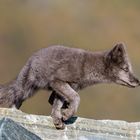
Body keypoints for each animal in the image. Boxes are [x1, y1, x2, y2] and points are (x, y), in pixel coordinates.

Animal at [0, 43, 139, 129]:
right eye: (126, 69)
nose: (138, 81)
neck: (86, 67)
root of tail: (31, 59)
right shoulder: (58, 81)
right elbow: (76, 97)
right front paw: (67, 114)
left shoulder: (66, 87)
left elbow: (57, 105)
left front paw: (59, 119)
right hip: (26, 89)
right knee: (14, 97)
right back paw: (14, 111)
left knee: (49, 100)